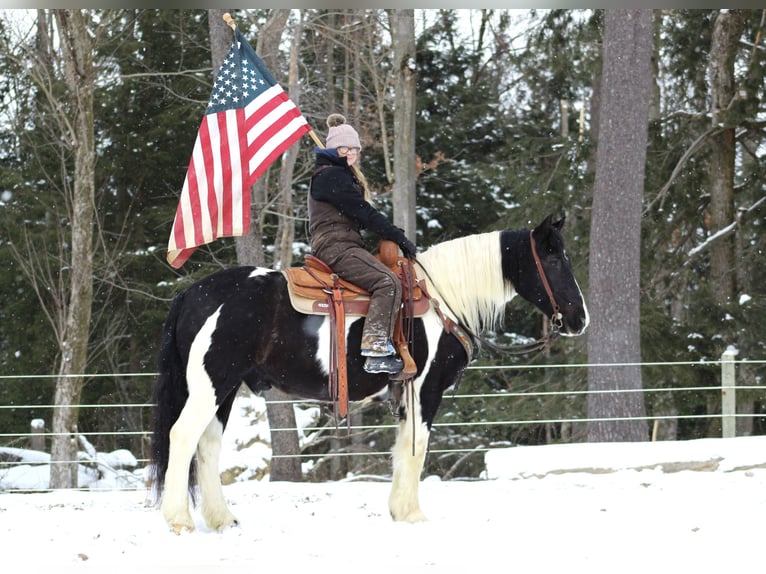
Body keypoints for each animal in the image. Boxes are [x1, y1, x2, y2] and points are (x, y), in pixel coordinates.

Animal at [153, 216, 592, 536]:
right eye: (555, 260)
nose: (579, 318)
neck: (442, 299)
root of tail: (192, 294)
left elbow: (402, 450)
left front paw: (400, 511)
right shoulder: (424, 390)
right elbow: (416, 450)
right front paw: (412, 515)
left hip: (224, 389)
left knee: (207, 446)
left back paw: (222, 520)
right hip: (211, 384)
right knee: (183, 436)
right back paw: (179, 520)